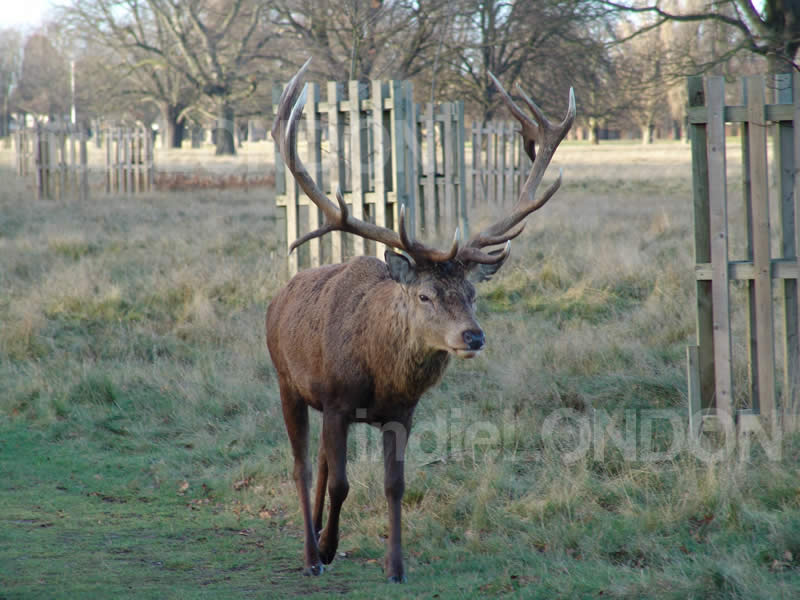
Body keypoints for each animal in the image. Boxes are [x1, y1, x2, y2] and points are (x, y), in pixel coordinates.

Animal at [266, 58, 575, 582]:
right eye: (426, 295)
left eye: (472, 293)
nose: (473, 336)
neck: (379, 376)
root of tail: (278, 298)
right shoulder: (337, 401)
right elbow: (343, 483)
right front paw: (327, 549)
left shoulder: (403, 412)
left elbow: (395, 485)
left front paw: (395, 566)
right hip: (288, 381)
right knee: (303, 464)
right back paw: (310, 554)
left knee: (322, 464)